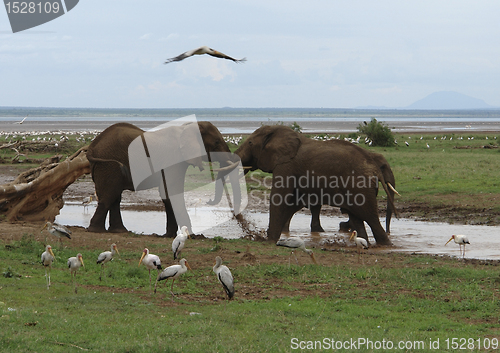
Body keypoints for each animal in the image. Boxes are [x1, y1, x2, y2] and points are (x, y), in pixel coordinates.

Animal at [87, 120, 241, 236]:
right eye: (216, 142)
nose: (209, 201)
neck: (187, 127)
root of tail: (92, 146)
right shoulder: (173, 160)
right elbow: (172, 191)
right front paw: (191, 235)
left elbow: (167, 194)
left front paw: (169, 235)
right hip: (109, 164)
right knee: (109, 195)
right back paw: (96, 230)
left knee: (114, 196)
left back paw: (119, 231)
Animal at [236, 124, 396, 245]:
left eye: (250, 143)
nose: (251, 232)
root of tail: (374, 168)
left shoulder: (286, 165)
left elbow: (279, 197)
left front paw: (269, 241)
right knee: (358, 216)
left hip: (359, 184)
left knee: (369, 216)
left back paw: (385, 244)